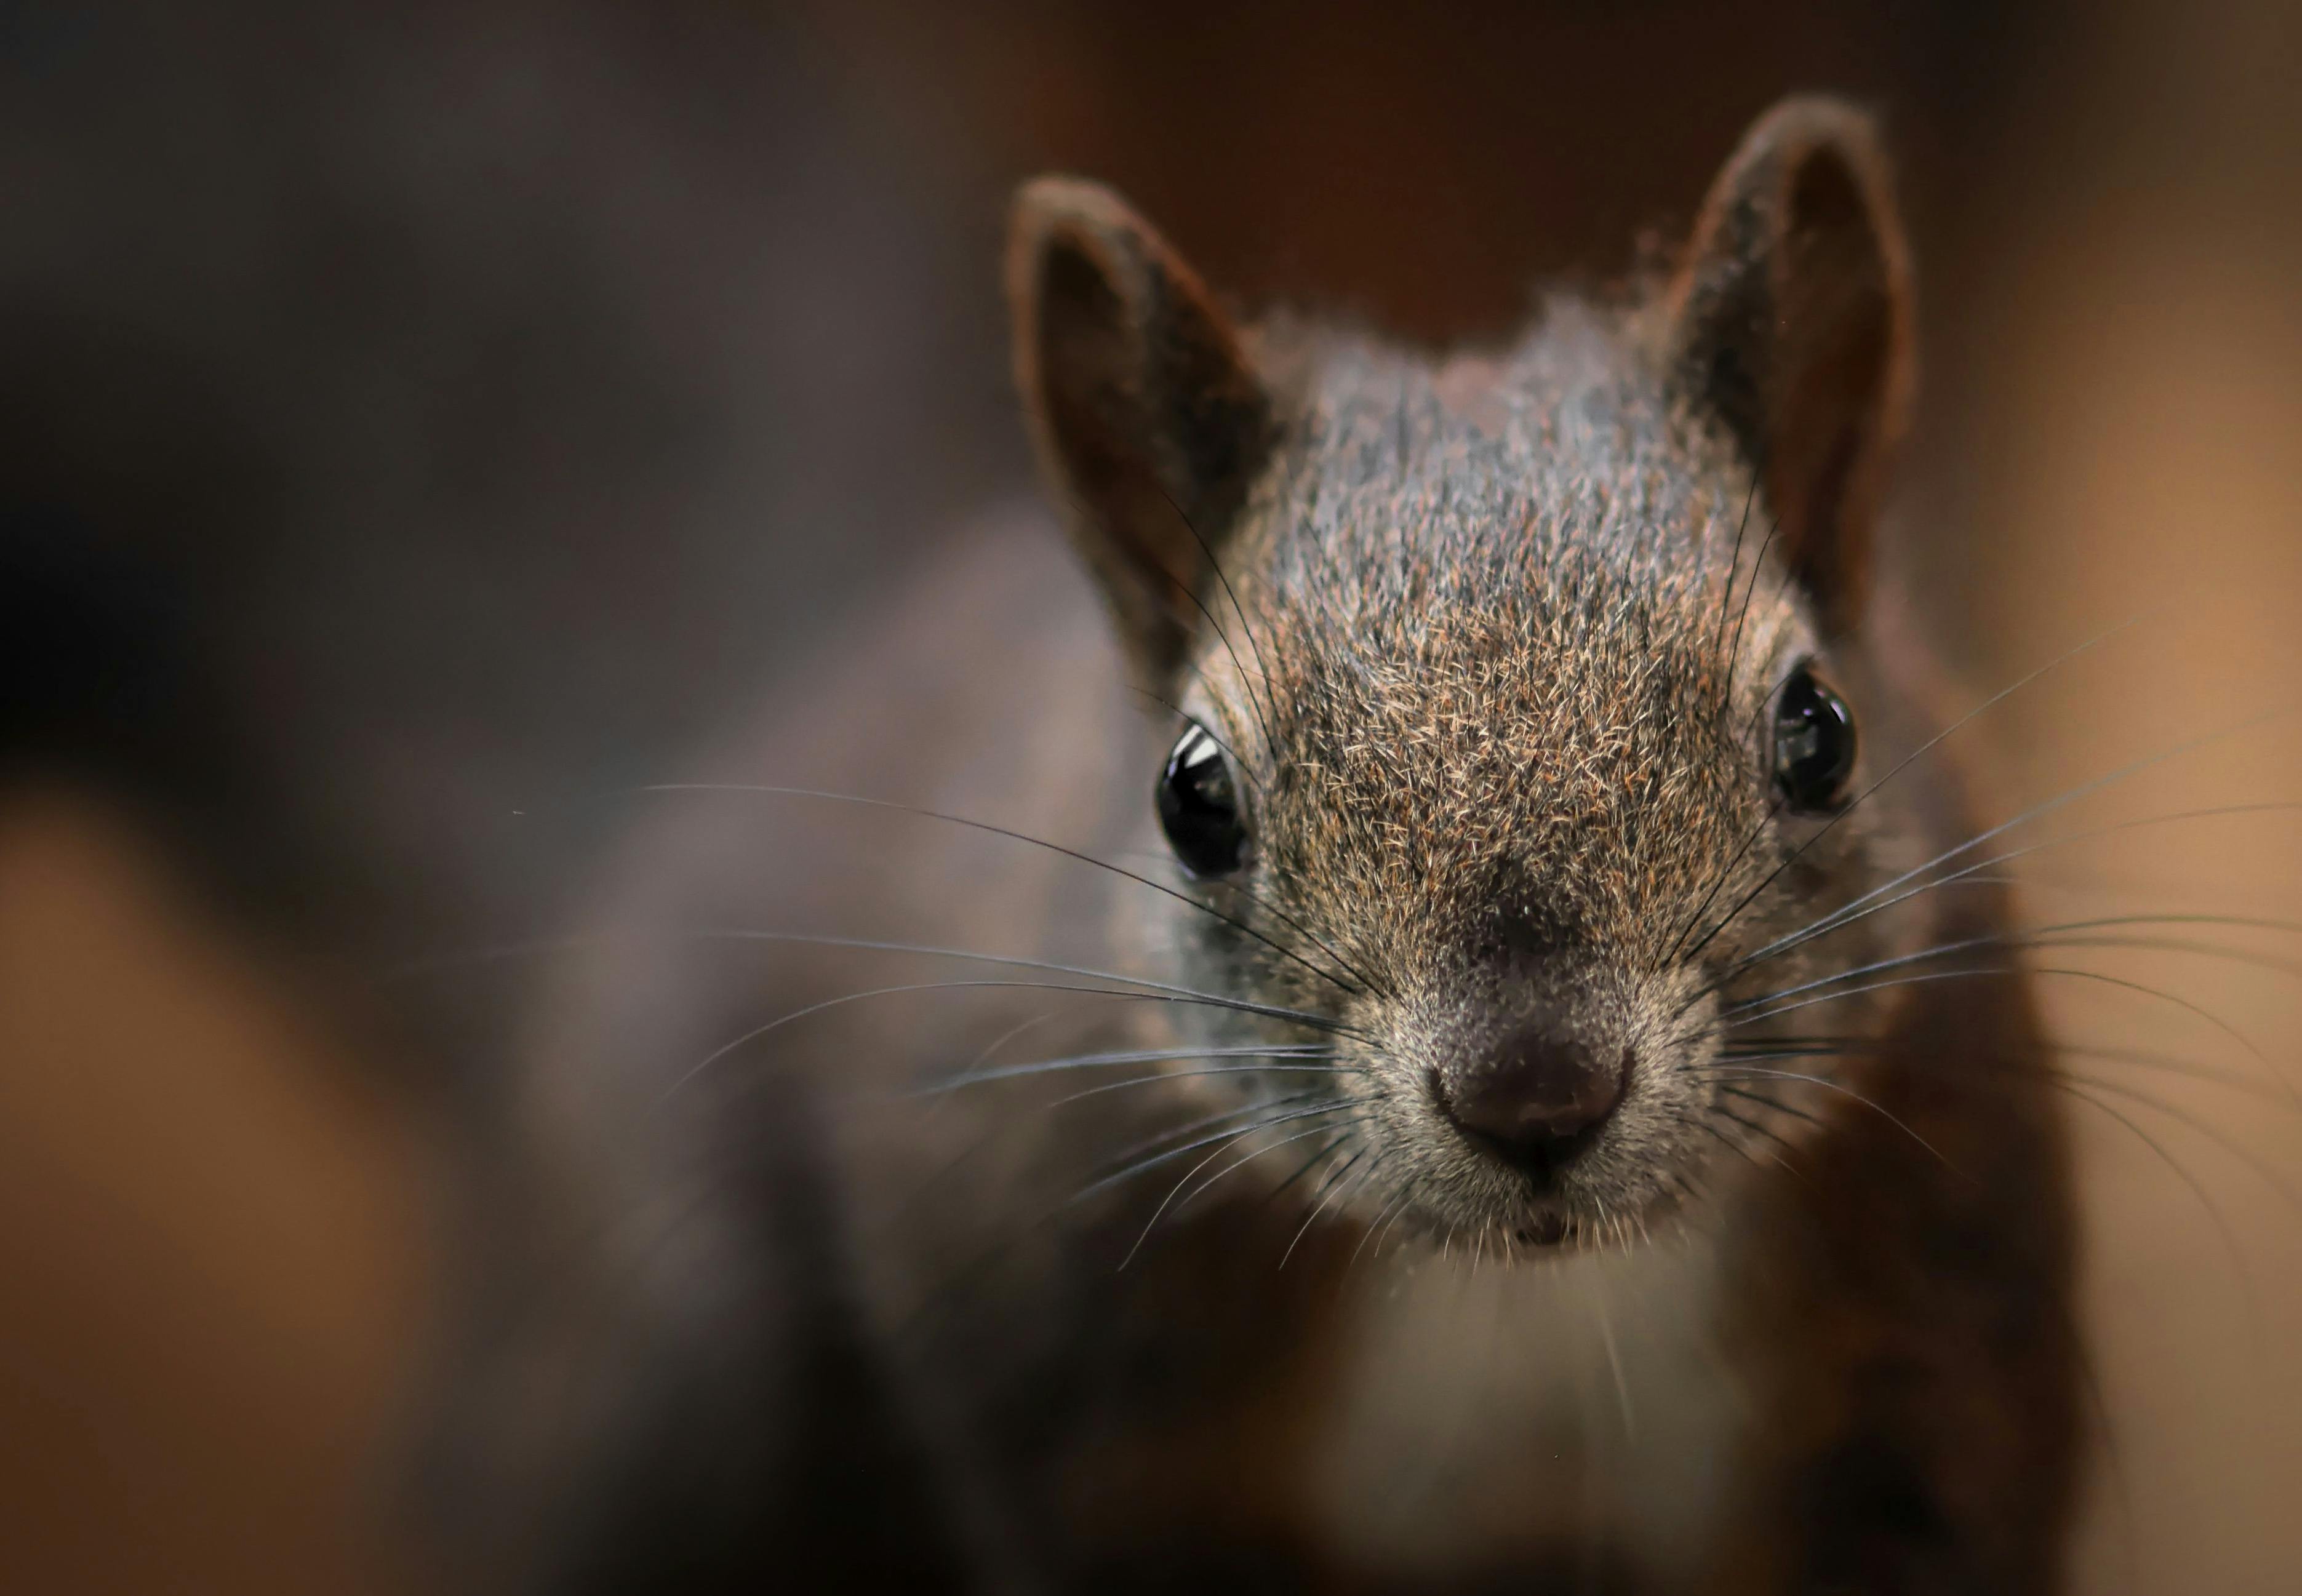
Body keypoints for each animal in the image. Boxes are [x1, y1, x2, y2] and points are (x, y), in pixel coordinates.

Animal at [428, 99, 2090, 1594]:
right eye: (1192, 797)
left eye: (1820, 731)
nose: (1535, 1094)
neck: (1526, 1302)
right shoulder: (1065, 1387)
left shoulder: (1929, 1380)